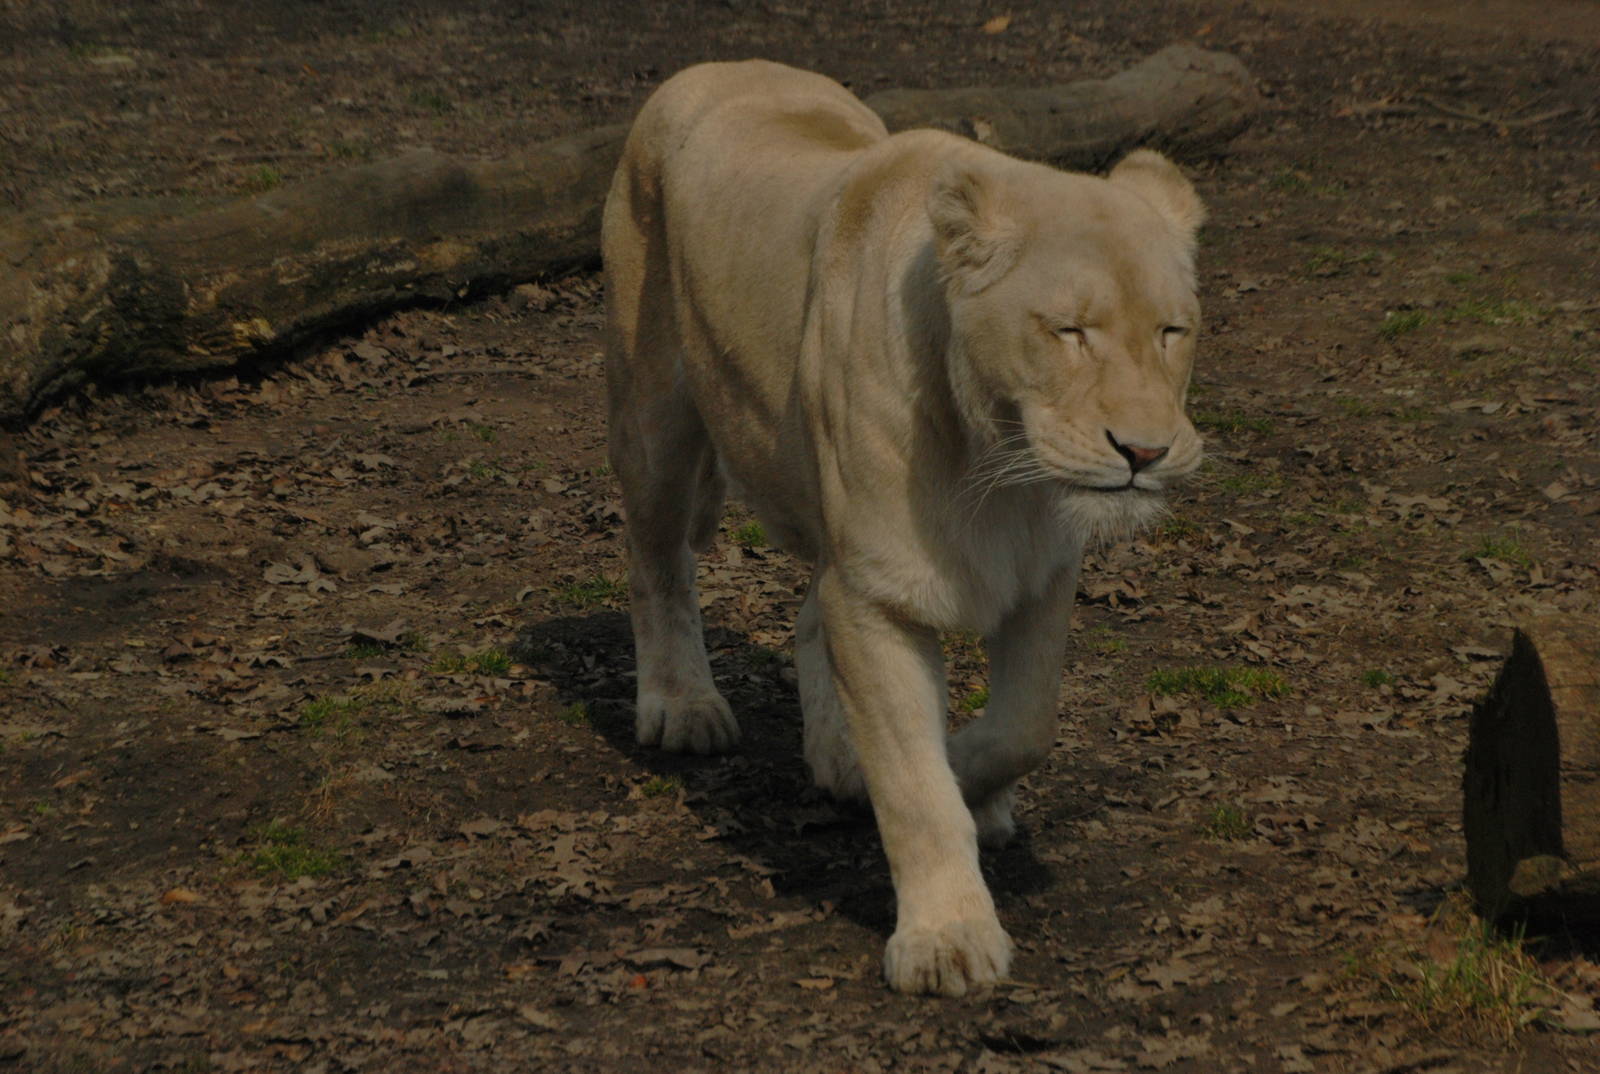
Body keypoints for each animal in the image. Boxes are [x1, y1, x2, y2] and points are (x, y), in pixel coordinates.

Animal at [601, 60, 1204, 996]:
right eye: (1069, 331)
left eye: (1172, 331)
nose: (1144, 452)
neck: (996, 463)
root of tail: (717, 67)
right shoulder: (878, 593)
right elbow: (917, 790)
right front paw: (947, 938)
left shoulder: (1040, 578)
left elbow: (1023, 728)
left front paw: (970, 786)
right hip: (655, 415)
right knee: (656, 559)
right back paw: (682, 705)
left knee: (806, 610)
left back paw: (839, 757)